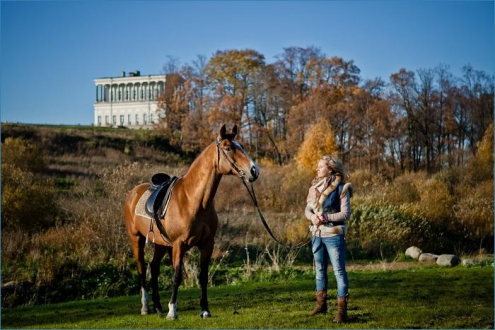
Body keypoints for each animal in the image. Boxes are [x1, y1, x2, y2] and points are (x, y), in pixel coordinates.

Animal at [123, 124, 260, 320]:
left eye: (241, 146)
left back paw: (158, 306)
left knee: (154, 267)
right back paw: (145, 307)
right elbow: (177, 276)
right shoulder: (179, 245)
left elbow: (203, 276)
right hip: (136, 239)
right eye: (227, 148)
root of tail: (133, 192)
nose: (254, 170)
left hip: (161, 244)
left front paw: (205, 309)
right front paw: (172, 311)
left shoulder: (207, 244)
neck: (193, 199)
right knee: (142, 268)